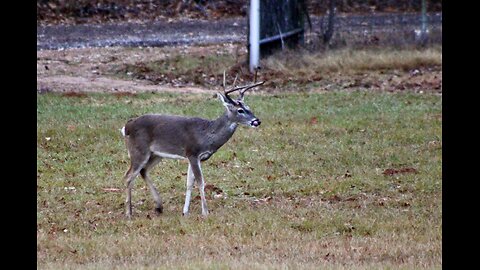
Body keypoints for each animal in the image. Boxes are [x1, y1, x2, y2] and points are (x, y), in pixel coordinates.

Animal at [120, 73, 262, 217]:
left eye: (249, 108)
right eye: (240, 110)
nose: (257, 121)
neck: (207, 134)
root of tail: (127, 127)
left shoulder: (193, 157)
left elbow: (189, 183)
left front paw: (185, 212)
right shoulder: (193, 153)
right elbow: (200, 182)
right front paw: (205, 212)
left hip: (156, 154)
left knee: (143, 171)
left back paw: (159, 206)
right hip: (139, 150)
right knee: (128, 176)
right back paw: (128, 213)